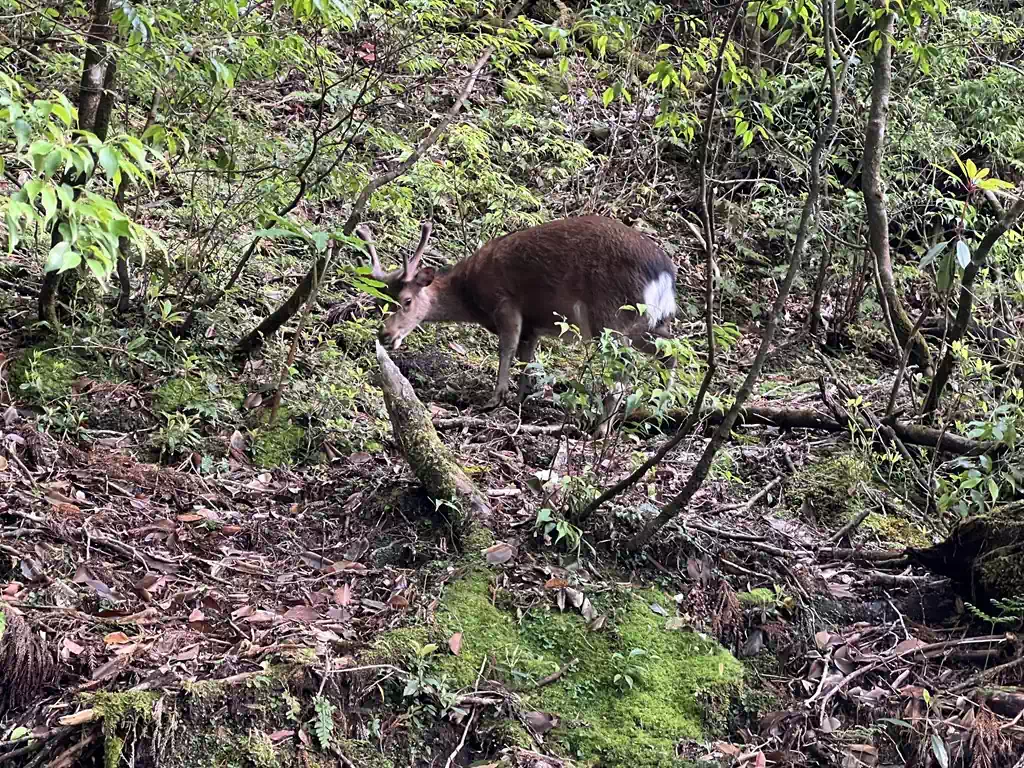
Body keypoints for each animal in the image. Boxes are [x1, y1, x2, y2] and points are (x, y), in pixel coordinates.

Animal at [360, 214, 679, 436]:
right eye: (381, 299)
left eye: (407, 300)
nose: (384, 334)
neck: (472, 297)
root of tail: (663, 274)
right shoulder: (534, 325)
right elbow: (528, 360)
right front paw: (522, 396)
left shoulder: (506, 303)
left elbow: (507, 349)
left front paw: (496, 398)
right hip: (644, 322)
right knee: (669, 351)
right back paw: (660, 410)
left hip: (610, 316)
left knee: (621, 373)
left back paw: (602, 428)